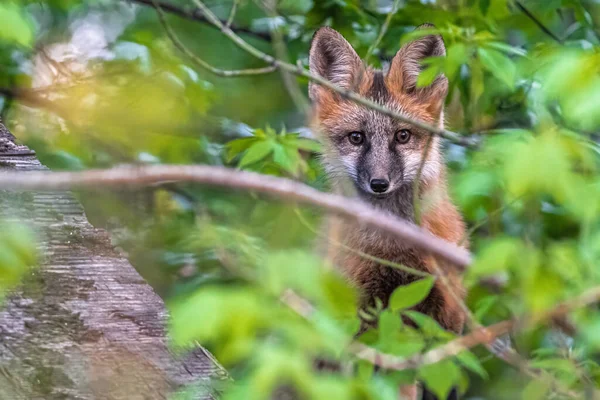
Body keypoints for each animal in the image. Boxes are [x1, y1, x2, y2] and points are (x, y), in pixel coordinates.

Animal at [310, 25, 468, 400]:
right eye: (356, 138)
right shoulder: (361, 315)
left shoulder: (444, 319)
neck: (392, 249)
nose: (379, 183)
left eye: (403, 136)